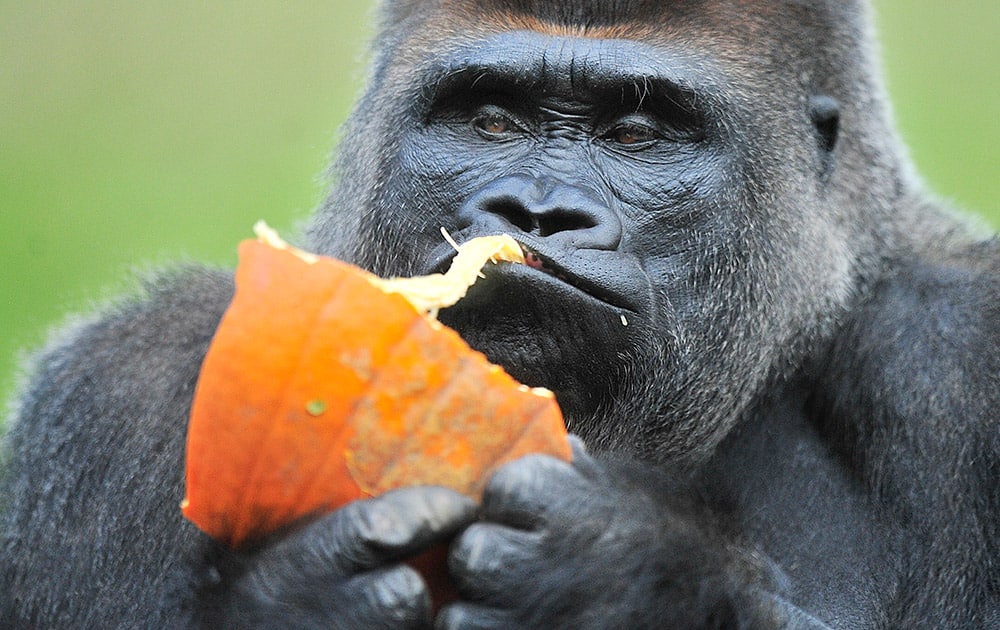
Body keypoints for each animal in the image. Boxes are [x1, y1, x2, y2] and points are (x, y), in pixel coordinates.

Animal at [1, 0, 1000, 628]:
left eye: (637, 133)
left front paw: (632, 577)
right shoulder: (114, 390)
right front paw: (289, 601)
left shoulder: (960, 358)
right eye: (489, 119)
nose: (538, 211)